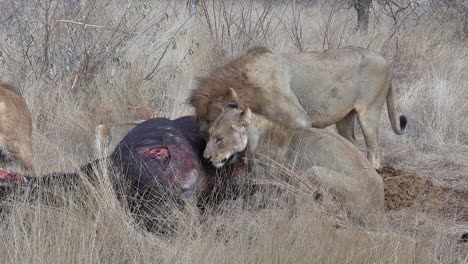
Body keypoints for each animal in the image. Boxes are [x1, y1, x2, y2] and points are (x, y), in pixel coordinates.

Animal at [188, 46, 408, 168]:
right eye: (205, 133)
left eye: (215, 135)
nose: (207, 159)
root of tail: (387, 62)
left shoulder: (299, 119)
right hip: (344, 120)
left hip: (369, 112)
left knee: (374, 153)